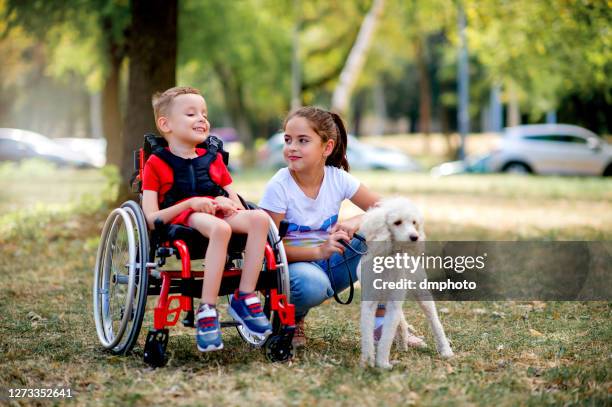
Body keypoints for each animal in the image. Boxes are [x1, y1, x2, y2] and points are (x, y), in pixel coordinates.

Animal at [356, 198, 452, 370]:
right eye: (397, 222)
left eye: (414, 222)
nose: (415, 237)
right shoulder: (369, 303)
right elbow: (367, 334)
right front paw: (367, 361)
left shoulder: (394, 302)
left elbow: (387, 336)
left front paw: (382, 363)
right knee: (401, 320)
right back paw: (403, 344)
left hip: (421, 293)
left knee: (434, 321)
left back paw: (445, 350)